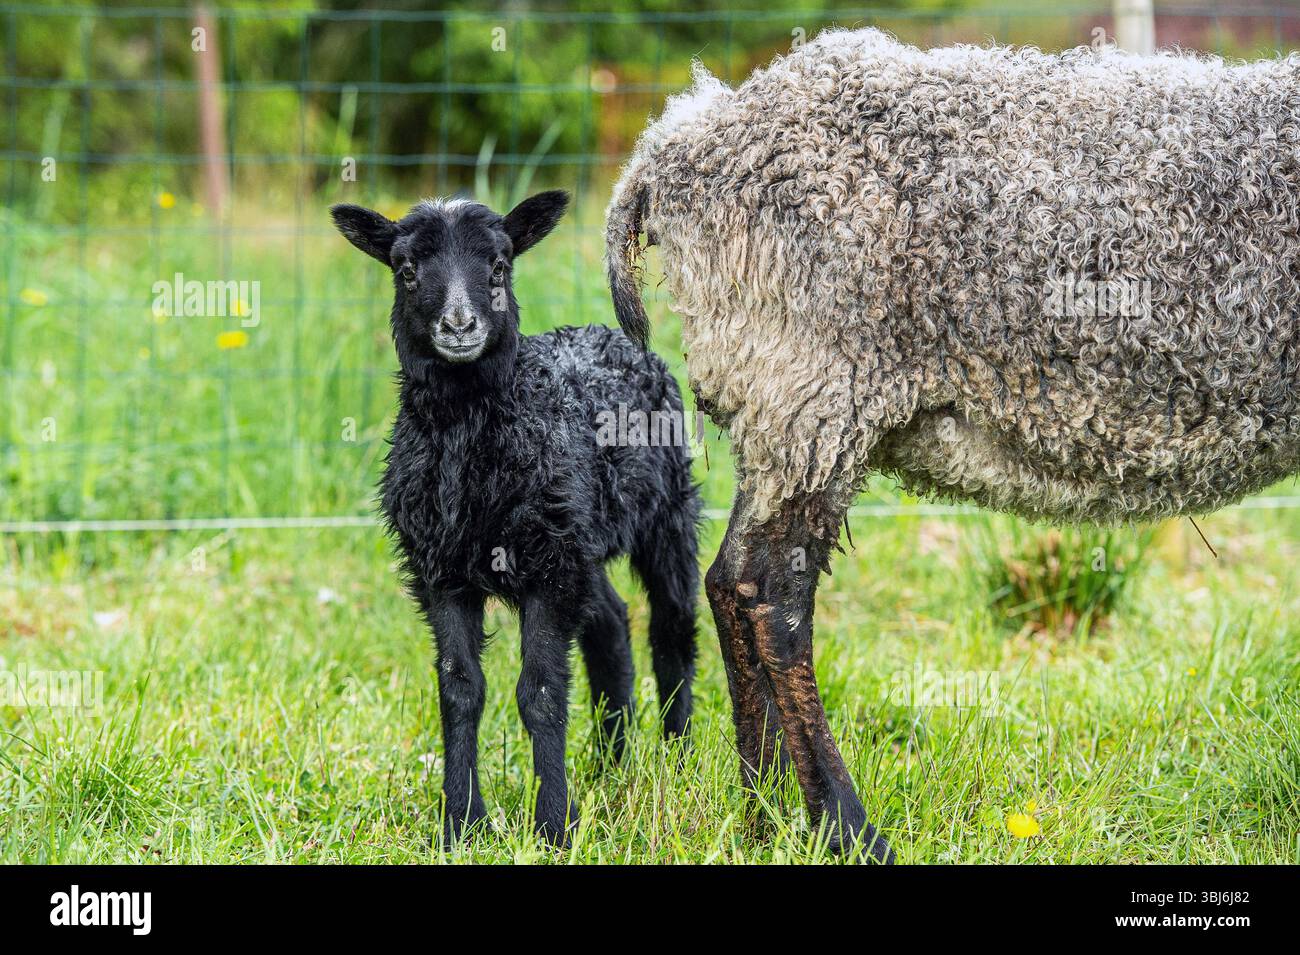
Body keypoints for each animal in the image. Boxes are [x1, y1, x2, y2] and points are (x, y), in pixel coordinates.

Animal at [332, 192, 700, 846]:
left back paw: (675, 761)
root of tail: (612, 334)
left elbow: (541, 693)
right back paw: (610, 766)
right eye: (407, 269)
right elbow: (460, 690)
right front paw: (460, 822)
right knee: (610, 623)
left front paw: (554, 824)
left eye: (499, 267)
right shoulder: (442, 572)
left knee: (672, 630)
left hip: (666, 509)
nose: (459, 325)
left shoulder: (548, 570)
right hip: (580, 531)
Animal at [607, 28, 1300, 862]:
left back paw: (765, 818)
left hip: (778, 406)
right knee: (771, 590)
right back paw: (846, 826)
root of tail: (674, 145)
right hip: (813, 382)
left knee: (728, 580)